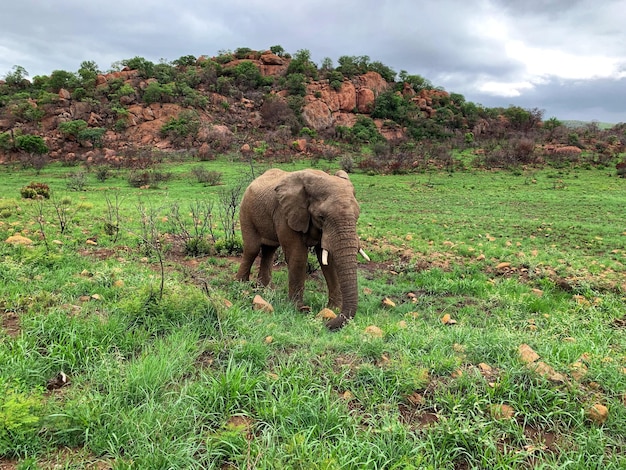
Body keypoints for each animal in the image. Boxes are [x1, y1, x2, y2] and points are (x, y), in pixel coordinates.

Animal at [236, 169, 368, 330]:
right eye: (321, 217)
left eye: (357, 216)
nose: (326, 324)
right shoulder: (284, 213)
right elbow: (298, 255)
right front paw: (300, 309)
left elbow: (327, 259)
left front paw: (333, 308)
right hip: (246, 210)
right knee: (252, 249)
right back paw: (241, 286)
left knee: (269, 250)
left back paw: (265, 290)